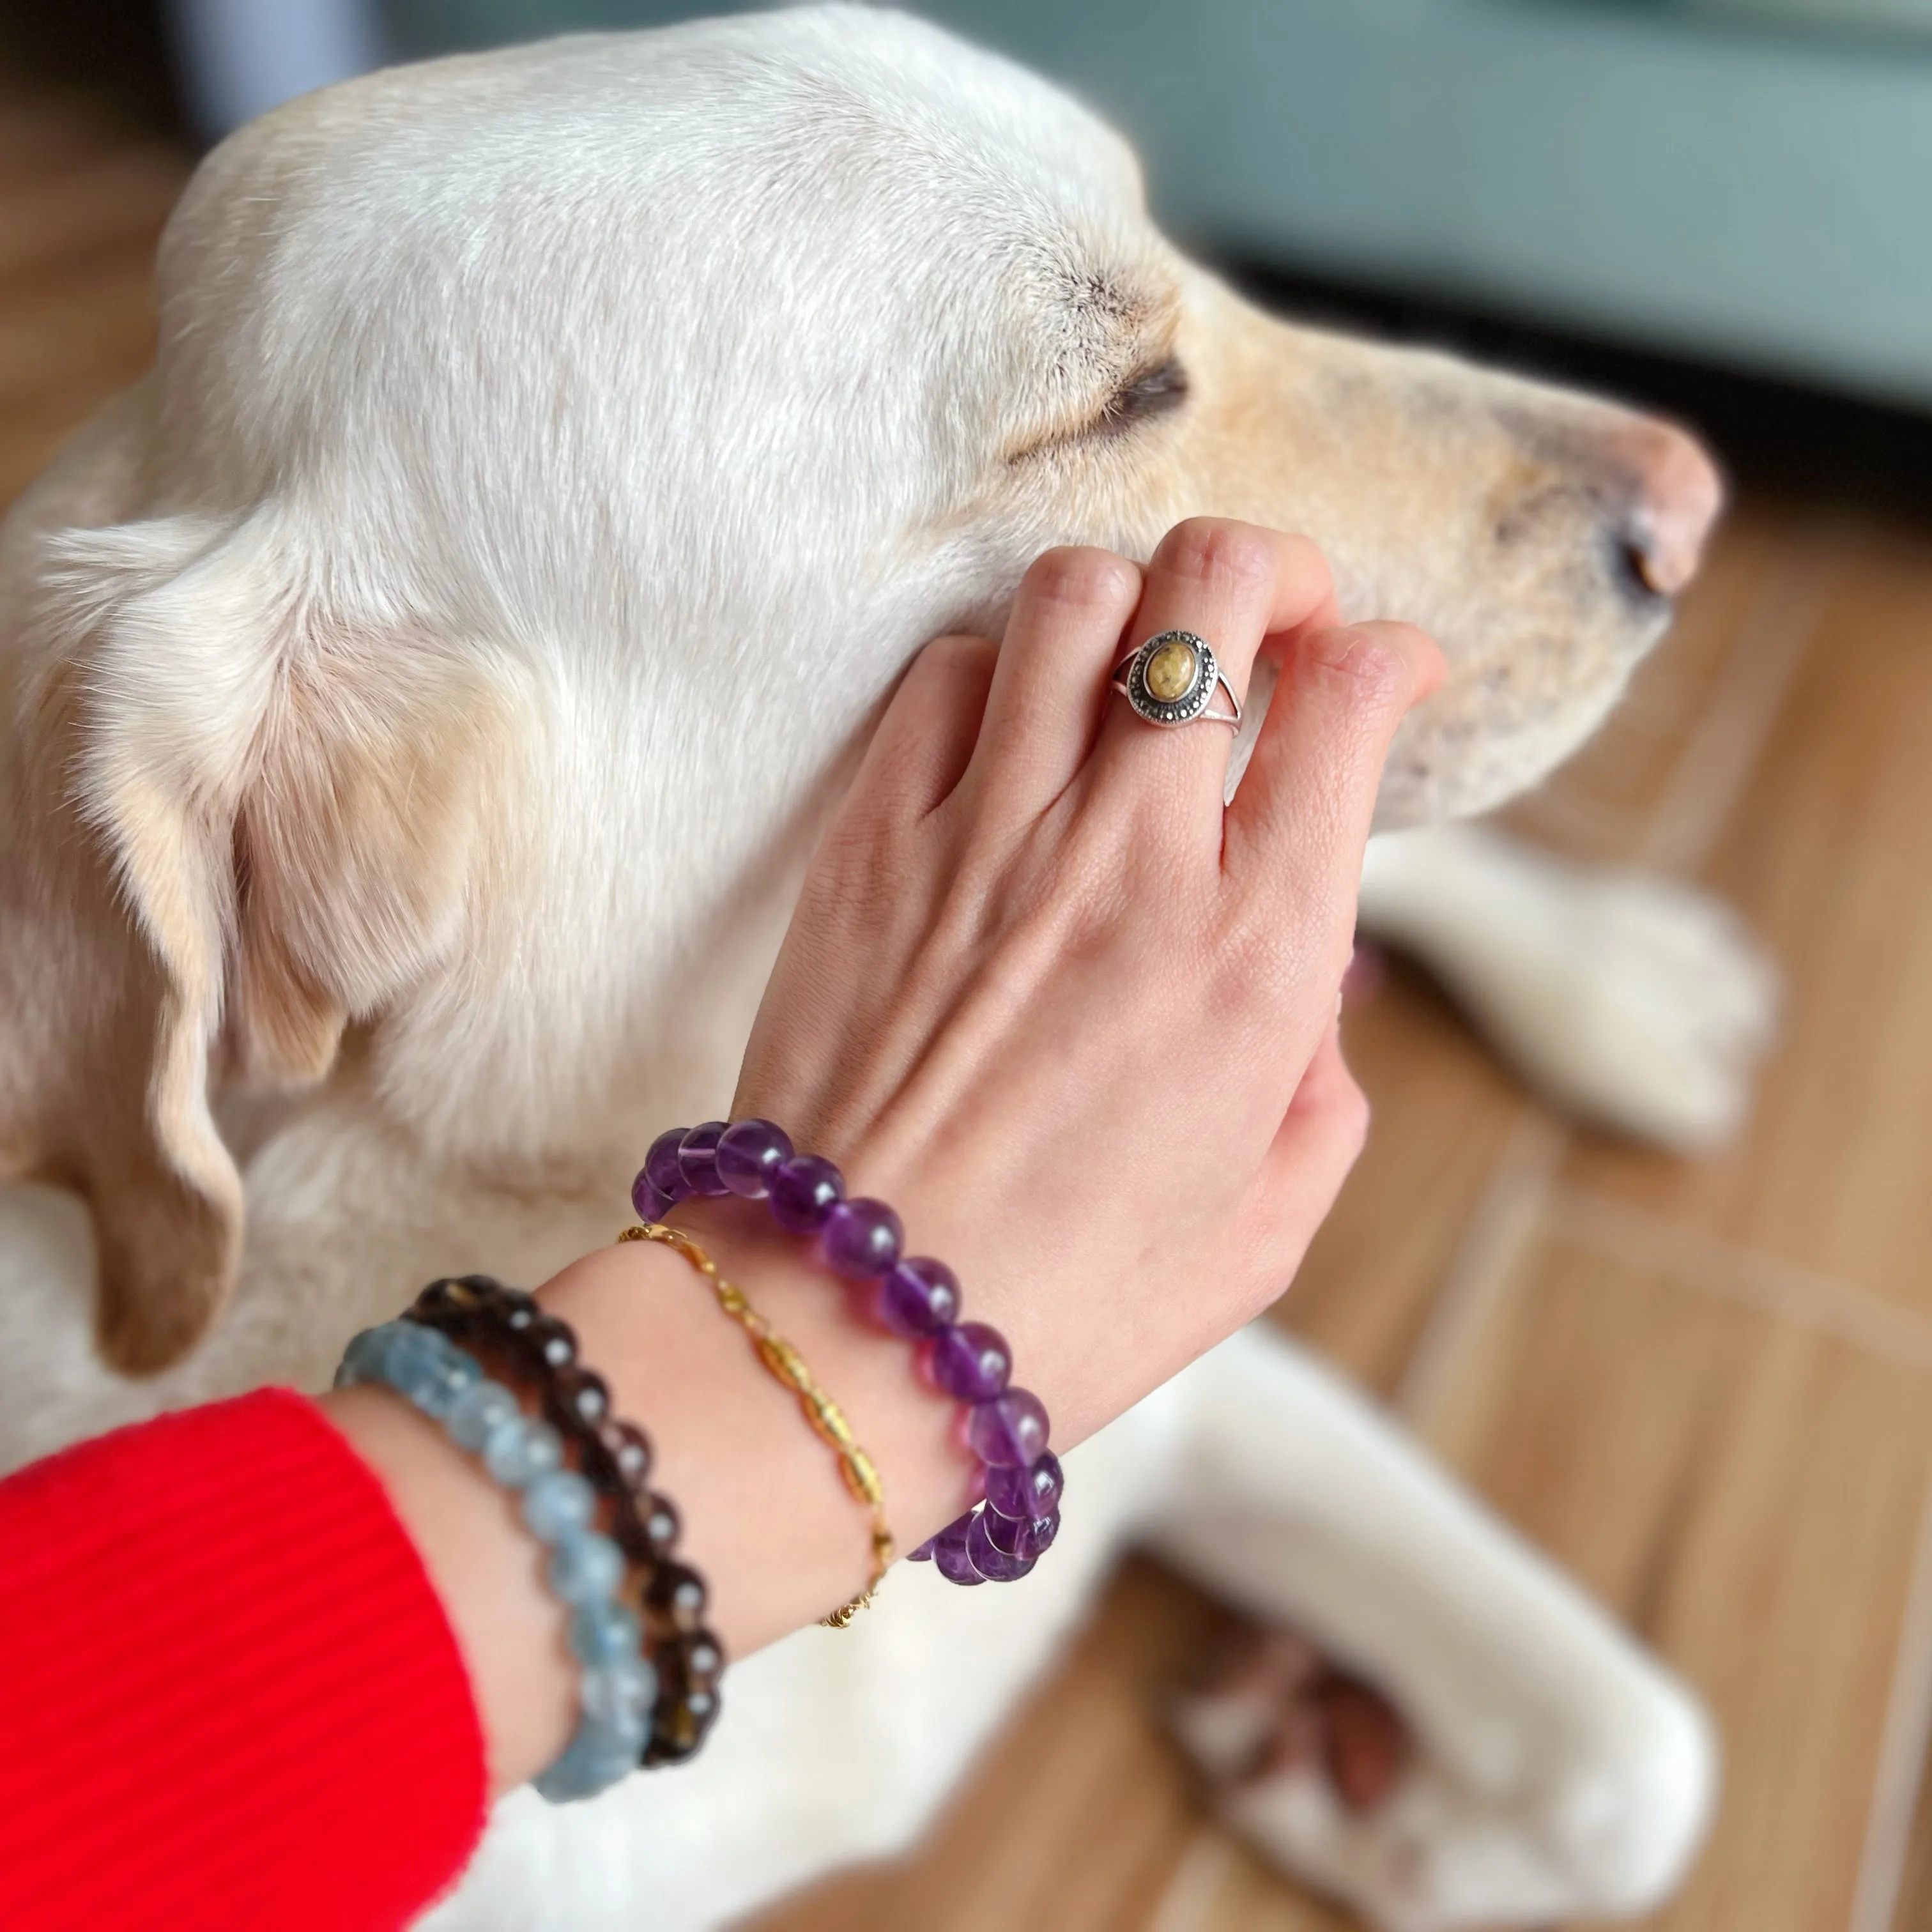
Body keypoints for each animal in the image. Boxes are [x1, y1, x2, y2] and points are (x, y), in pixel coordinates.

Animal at [0, 11, 1777, 1916]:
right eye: (1114, 396)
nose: (1692, 505)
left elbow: (1645, 1768)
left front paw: (1363, 1787)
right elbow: (1635, 1783)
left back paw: (1620, 977)